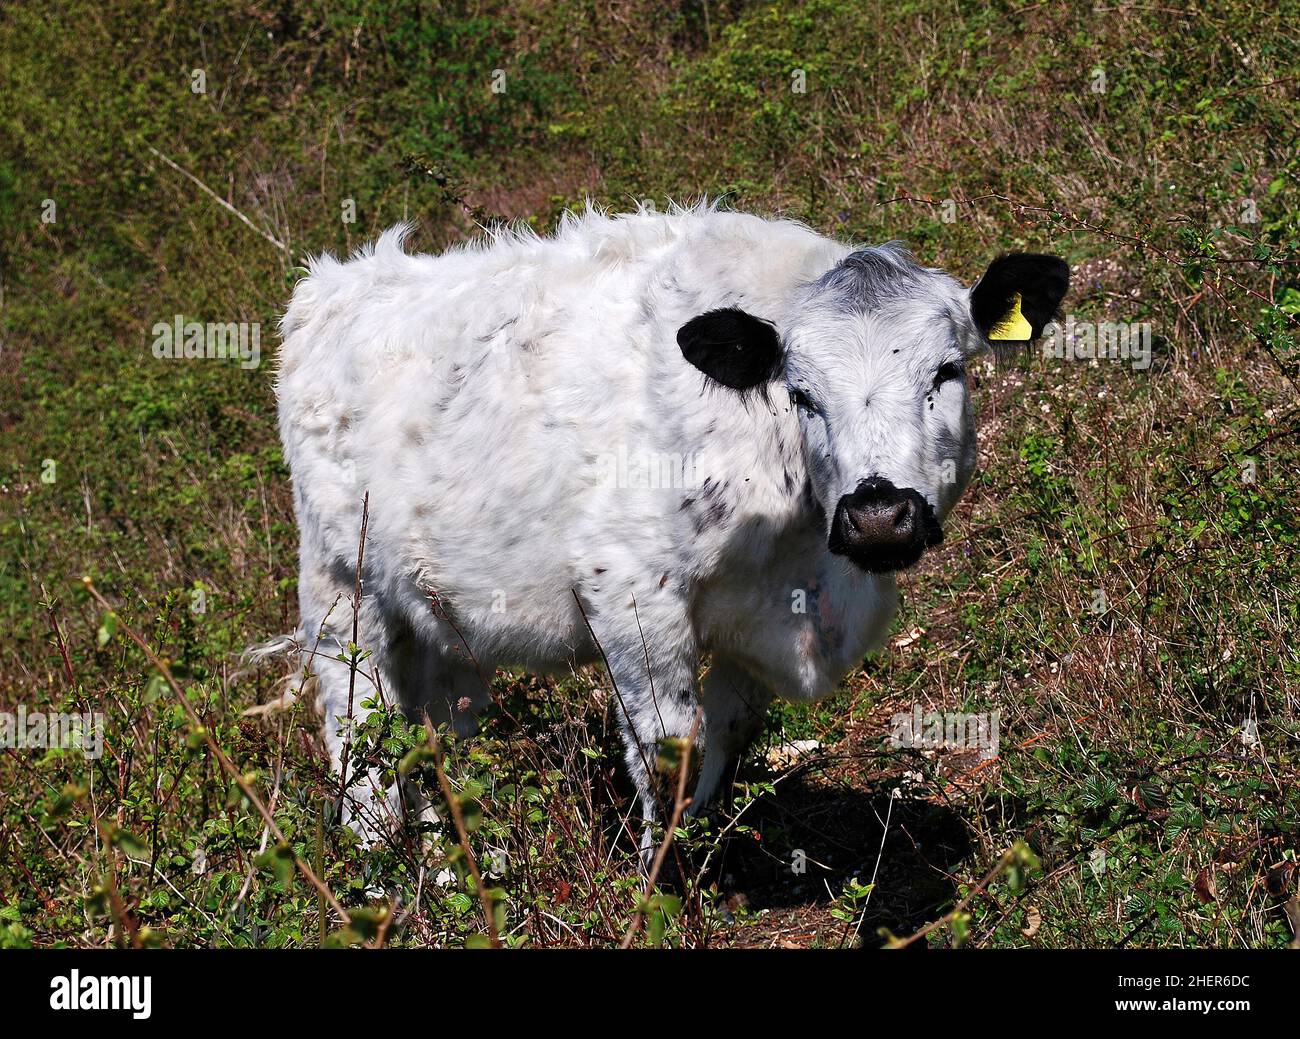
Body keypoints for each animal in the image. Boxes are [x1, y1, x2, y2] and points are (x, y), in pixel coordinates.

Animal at [276, 201, 1066, 842]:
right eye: (801, 392)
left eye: (947, 372)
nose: (877, 516)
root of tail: (332, 284)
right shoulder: (628, 591)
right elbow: (669, 749)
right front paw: (665, 889)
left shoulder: (761, 627)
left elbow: (726, 738)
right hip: (340, 593)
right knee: (361, 741)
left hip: (438, 622)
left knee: (444, 736)